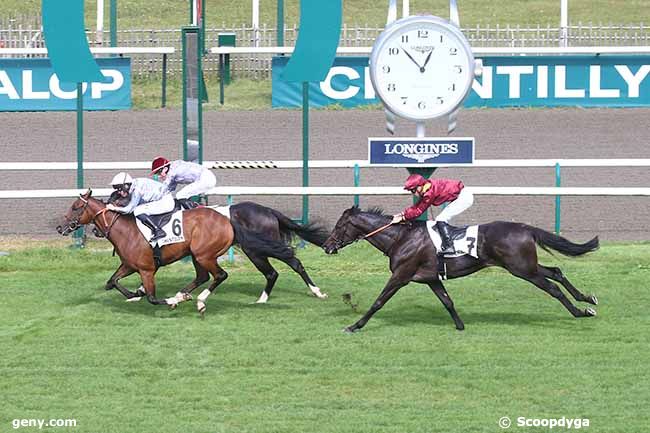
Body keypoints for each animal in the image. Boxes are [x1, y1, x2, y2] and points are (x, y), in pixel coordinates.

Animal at [57, 189, 292, 314]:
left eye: (76, 207)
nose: (60, 227)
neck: (126, 230)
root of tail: (228, 220)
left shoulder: (147, 269)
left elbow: (152, 297)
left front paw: (167, 300)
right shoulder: (129, 265)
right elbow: (111, 282)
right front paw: (134, 294)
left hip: (206, 254)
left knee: (221, 275)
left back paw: (198, 300)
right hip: (198, 256)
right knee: (203, 276)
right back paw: (184, 295)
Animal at [322, 206, 600, 330]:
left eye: (339, 226)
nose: (326, 246)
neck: (400, 238)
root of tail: (525, 228)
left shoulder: (401, 276)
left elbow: (378, 302)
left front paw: (355, 326)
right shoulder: (431, 278)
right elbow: (447, 301)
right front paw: (460, 325)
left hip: (522, 269)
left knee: (552, 287)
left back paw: (580, 312)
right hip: (525, 265)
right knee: (556, 272)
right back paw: (588, 300)